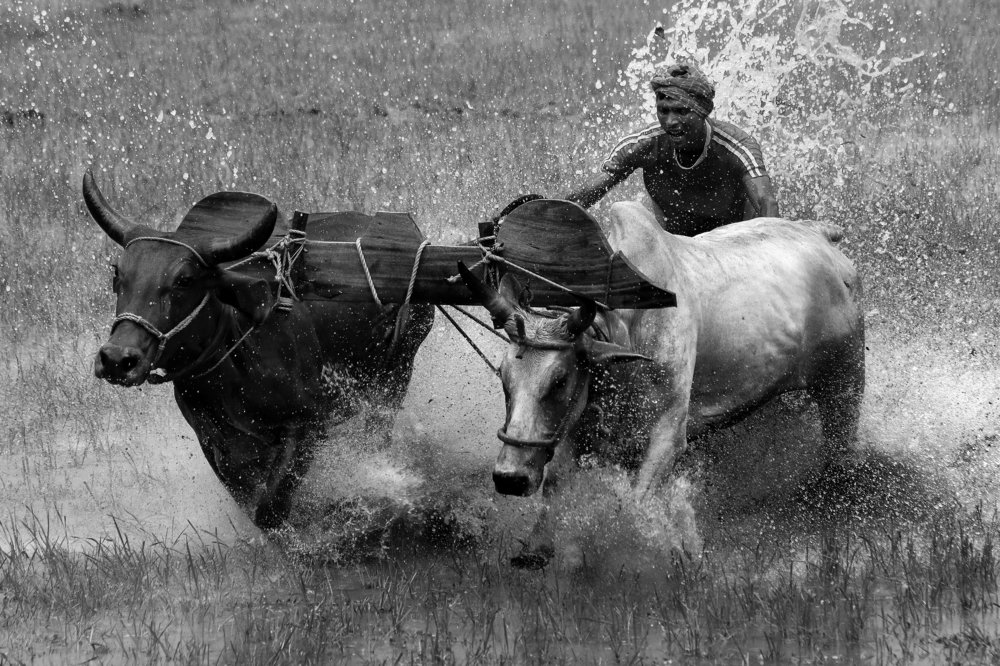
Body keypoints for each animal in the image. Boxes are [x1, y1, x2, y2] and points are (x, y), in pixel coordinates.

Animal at [83, 171, 433, 530]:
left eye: (184, 280)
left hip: (396, 374)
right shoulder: (216, 445)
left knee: (377, 435)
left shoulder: (307, 425)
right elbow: (253, 503)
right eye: (119, 274)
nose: (117, 359)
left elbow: (270, 509)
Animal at [458, 199, 865, 567]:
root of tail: (820, 234)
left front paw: (674, 554)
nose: (510, 478)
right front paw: (537, 548)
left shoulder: (668, 430)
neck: (627, 337)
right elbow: (555, 488)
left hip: (844, 381)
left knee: (839, 461)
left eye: (560, 380)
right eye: (503, 377)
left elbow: (638, 502)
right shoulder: (582, 431)